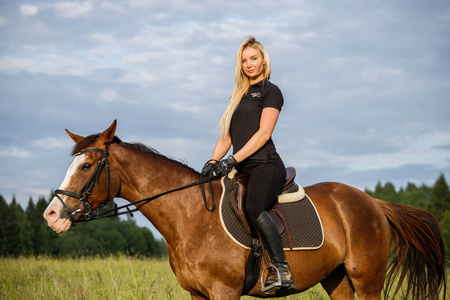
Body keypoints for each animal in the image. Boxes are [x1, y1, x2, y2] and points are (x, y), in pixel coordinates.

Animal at [44, 120, 444, 298]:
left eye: (86, 166)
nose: (51, 215)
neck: (190, 217)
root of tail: (372, 202)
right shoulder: (197, 295)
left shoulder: (225, 292)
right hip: (337, 279)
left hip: (368, 279)